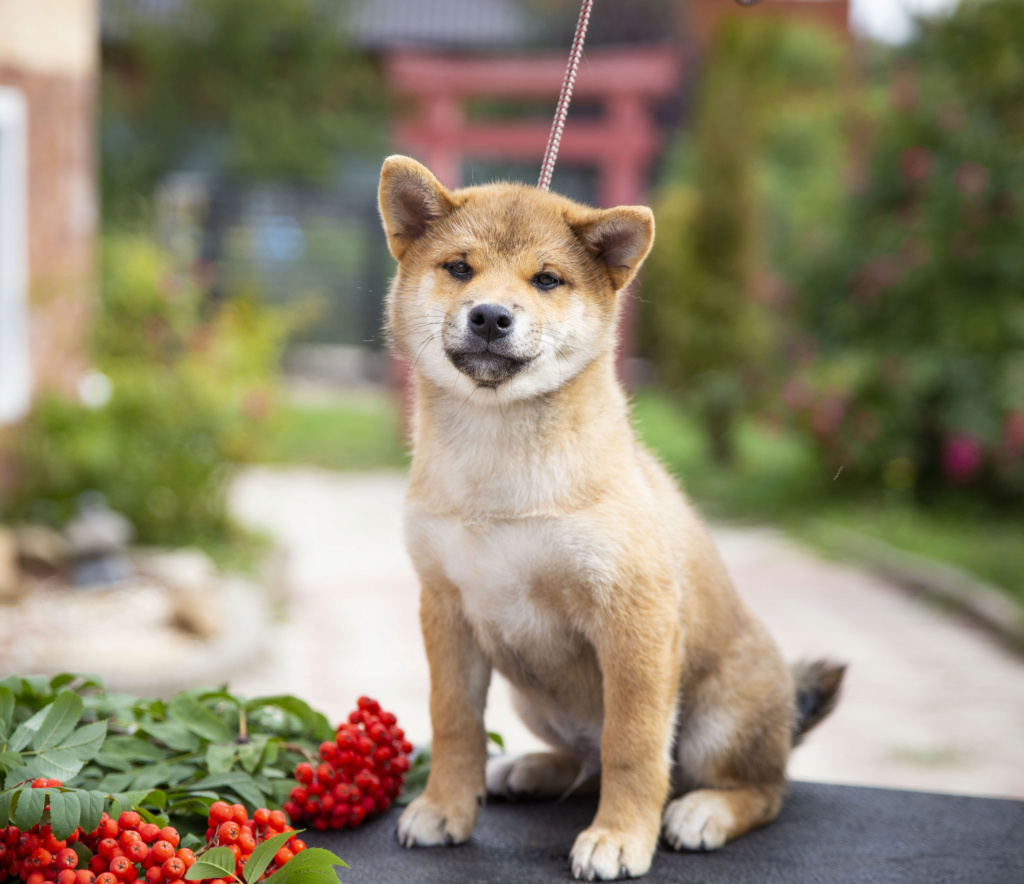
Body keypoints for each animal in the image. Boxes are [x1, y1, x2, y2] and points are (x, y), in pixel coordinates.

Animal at [380, 155, 843, 880]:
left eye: (546, 279)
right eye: (459, 268)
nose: (490, 316)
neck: (498, 467)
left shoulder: (634, 618)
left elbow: (633, 745)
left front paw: (621, 837)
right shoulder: (446, 610)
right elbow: (453, 723)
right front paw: (445, 808)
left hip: (719, 720)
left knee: (763, 789)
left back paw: (704, 811)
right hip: (530, 695)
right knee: (584, 760)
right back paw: (529, 769)